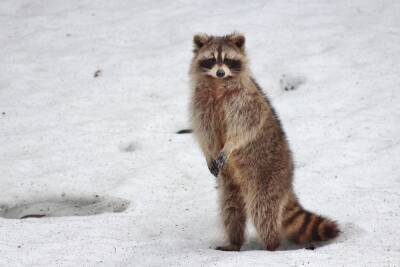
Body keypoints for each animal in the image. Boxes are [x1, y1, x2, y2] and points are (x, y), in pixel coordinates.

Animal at [189, 32, 340, 252]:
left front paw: (229, 146)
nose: (220, 72)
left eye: (227, 60)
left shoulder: (245, 101)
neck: (218, 84)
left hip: (267, 177)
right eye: (211, 59)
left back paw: (271, 245)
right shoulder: (201, 103)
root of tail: (288, 182)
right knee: (230, 208)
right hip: (231, 184)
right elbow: (204, 131)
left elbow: (245, 127)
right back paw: (234, 242)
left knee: (263, 209)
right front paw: (209, 152)